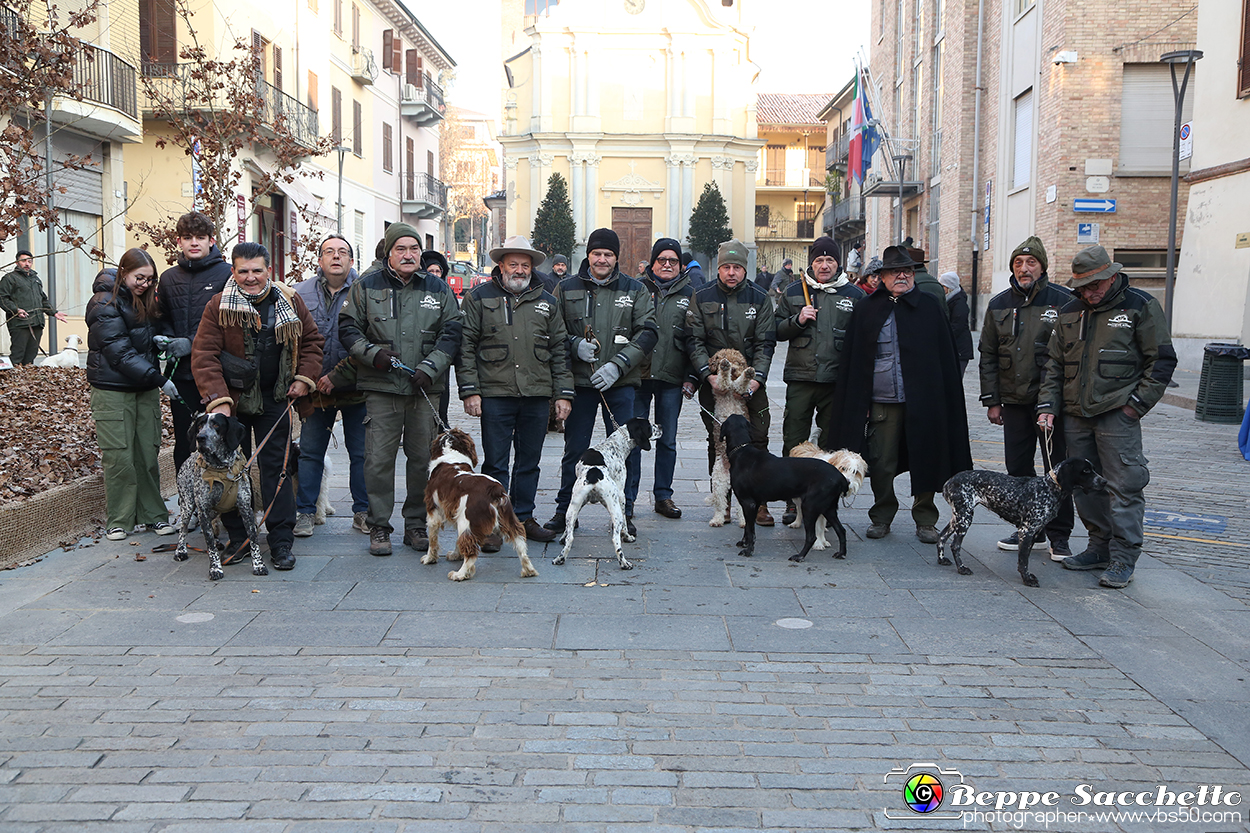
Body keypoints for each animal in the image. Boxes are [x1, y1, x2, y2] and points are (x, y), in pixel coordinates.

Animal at [173, 412, 268, 580]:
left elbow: (253, 541)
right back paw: (180, 551)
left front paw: (259, 565)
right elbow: (210, 547)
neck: (220, 468)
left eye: (216, 424)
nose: (200, 437)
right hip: (188, 506)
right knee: (183, 530)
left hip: (212, 511)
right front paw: (215, 569)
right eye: (200, 425)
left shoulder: (246, 510)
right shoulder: (203, 511)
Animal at [555, 417, 660, 567]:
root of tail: (594, 475)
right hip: (615, 510)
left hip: (572, 507)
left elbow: (567, 532)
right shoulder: (621, 495)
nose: (661, 426)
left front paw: (563, 537)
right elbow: (625, 524)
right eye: (650, 425)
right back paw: (624, 562)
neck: (616, 444)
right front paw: (628, 537)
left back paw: (561, 558)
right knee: (616, 539)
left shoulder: (579, 504)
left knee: (570, 538)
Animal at [720, 412, 855, 560]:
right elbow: (747, 527)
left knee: (812, 536)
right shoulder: (753, 503)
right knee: (841, 530)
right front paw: (744, 543)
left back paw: (799, 556)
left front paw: (748, 550)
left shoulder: (748, 503)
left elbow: (751, 531)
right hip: (828, 508)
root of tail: (841, 477)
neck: (742, 451)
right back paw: (841, 553)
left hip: (810, 506)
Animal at [940, 457, 1110, 587]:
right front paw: (1027, 579)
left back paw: (941, 559)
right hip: (965, 518)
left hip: (958, 517)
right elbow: (1024, 560)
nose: (1104, 481)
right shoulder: (1026, 531)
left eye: (1093, 469)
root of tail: (949, 481)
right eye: (1086, 471)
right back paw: (962, 568)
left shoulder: (1034, 532)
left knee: (942, 536)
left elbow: (1025, 557)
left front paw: (1026, 576)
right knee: (955, 545)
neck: (1049, 488)